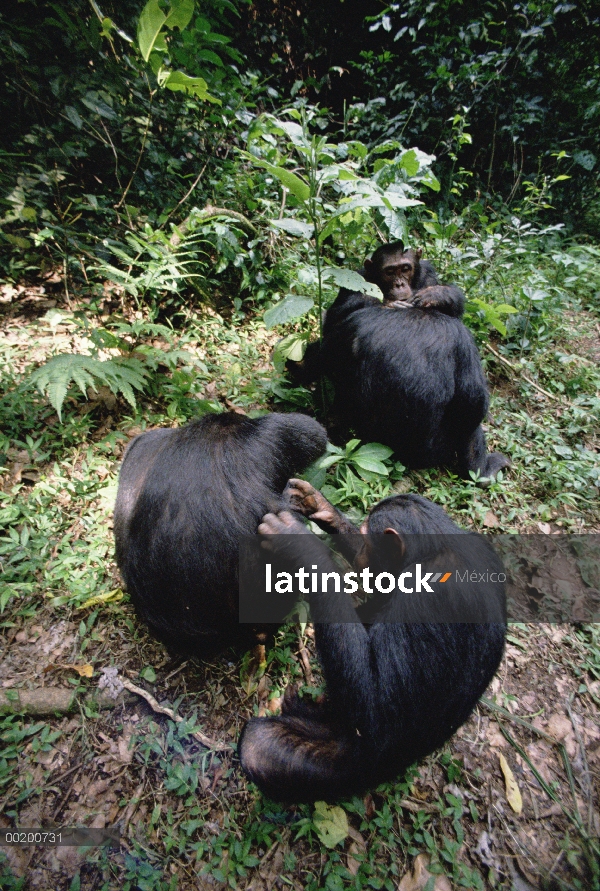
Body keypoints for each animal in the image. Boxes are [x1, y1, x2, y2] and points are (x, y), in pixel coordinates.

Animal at [239, 484, 506, 804]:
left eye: (369, 542)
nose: (362, 555)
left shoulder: (426, 601)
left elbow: (374, 704)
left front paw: (299, 546)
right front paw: (319, 505)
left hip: (354, 765)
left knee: (259, 746)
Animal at [290, 242, 510, 480]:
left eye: (405, 268)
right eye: (389, 271)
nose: (399, 284)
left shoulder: (427, 272)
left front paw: (440, 294)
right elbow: (473, 403)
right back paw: (484, 472)